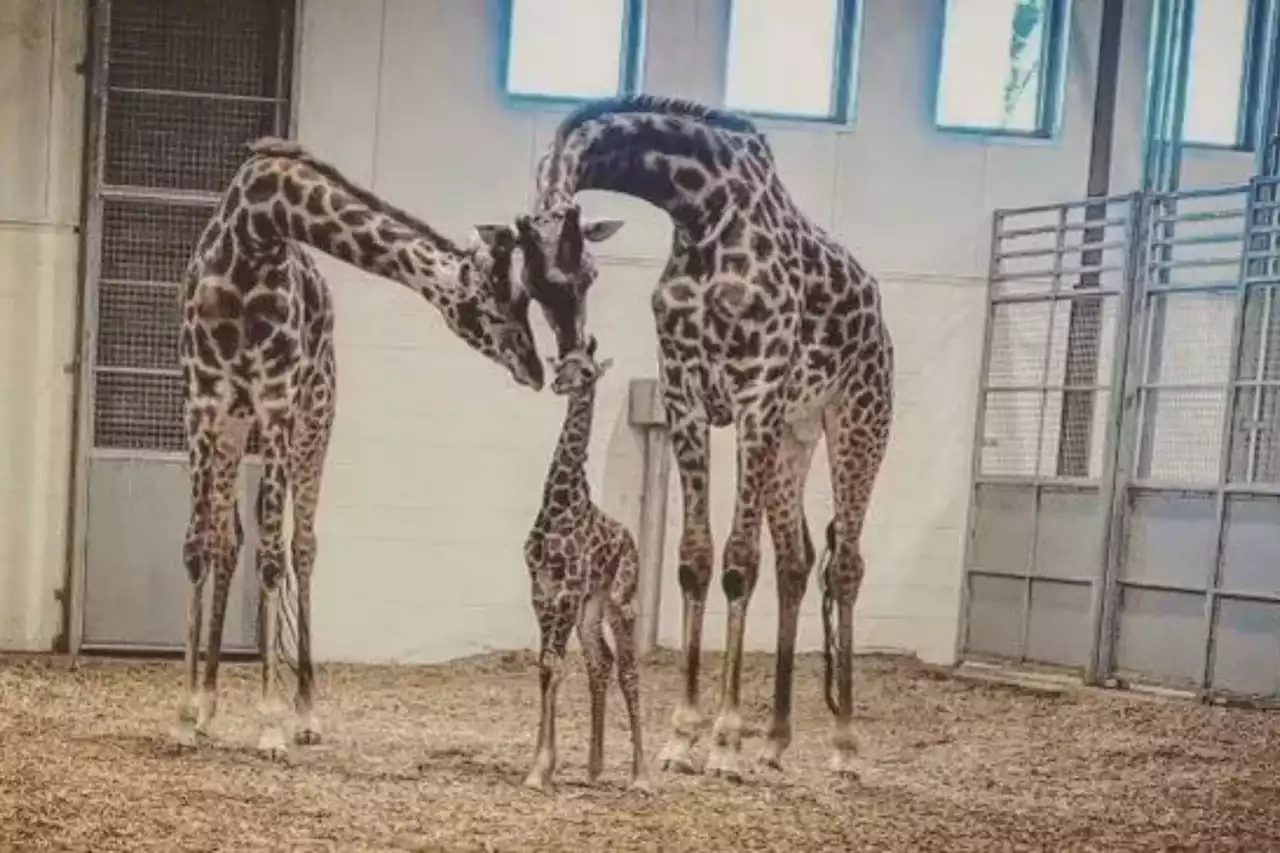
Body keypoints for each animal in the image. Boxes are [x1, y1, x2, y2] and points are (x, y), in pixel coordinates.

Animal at [175, 136, 545, 753]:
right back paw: (207, 706)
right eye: (497, 306)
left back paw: (304, 713)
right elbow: (198, 547)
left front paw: (271, 724)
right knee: (229, 541)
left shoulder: (277, 404)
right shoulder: (202, 406)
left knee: (301, 545)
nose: (537, 371)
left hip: (315, 418)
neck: (254, 229)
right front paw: (184, 717)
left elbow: (273, 557)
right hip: (235, 432)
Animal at [519, 333, 645, 788]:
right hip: (592, 606)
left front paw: (540, 768)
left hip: (621, 600)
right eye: (561, 365)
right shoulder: (541, 588)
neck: (559, 505)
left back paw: (642, 776)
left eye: (587, 372)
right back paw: (594, 767)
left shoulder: (567, 590)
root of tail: (631, 539)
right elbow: (546, 666)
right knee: (600, 661)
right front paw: (543, 765)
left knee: (628, 669)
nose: (560, 384)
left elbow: (555, 666)